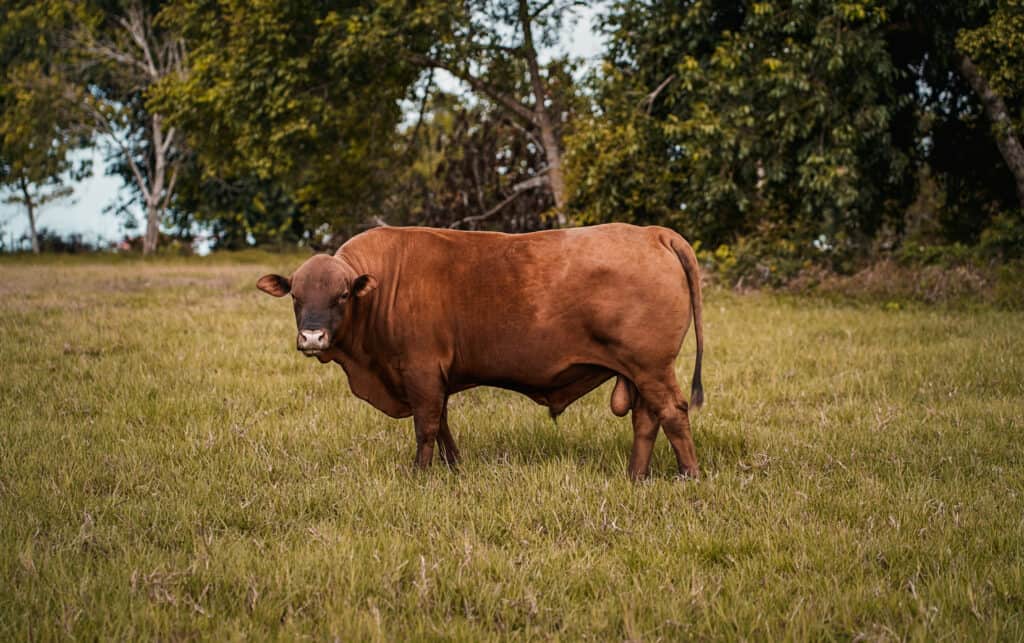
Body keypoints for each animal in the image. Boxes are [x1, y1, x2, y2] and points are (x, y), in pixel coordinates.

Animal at [256, 221, 704, 477]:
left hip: (651, 366)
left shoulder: (420, 369)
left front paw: (419, 476)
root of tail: (652, 232)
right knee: (646, 420)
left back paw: (689, 475)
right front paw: (453, 468)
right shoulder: (433, 377)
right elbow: (442, 423)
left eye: (343, 295)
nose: (313, 337)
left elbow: (426, 426)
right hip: (640, 371)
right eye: (296, 296)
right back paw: (635, 475)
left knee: (672, 413)